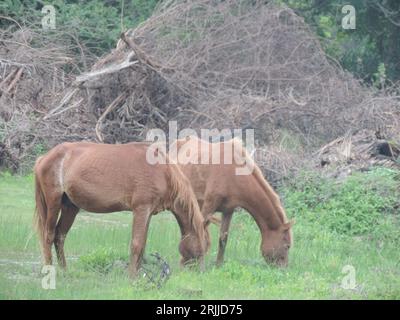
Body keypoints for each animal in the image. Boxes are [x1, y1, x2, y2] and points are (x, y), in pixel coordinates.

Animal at [32, 141, 211, 276]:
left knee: (60, 236)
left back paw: (64, 271)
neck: (162, 171)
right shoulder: (141, 210)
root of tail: (44, 158)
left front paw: (138, 275)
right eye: (201, 245)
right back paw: (50, 271)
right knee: (49, 235)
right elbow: (136, 244)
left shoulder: (148, 213)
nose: (201, 272)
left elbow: (142, 244)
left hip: (70, 207)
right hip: (53, 203)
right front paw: (131, 277)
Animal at [170, 136, 294, 266]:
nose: (284, 268)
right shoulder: (209, 206)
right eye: (287, 246)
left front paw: (218, 265)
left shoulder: (228, 210)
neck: (232, 173)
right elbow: (200, 233)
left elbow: (223, 239)